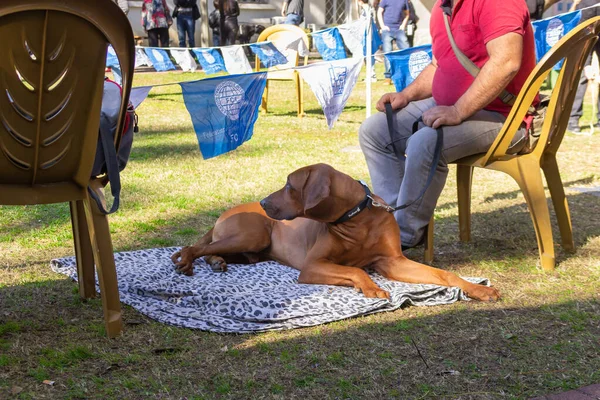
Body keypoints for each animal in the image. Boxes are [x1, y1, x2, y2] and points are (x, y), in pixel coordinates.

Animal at [172, 162, 502, 300]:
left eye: (290, 185)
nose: (264, 202)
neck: (357, 220)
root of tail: (223, 214)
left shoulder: (392, 262)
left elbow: (445, 275)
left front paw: (478, 289)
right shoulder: (312, 266)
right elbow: (355, 270)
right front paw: (370, 287)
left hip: (252, 249)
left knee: (211, 251)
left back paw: (216, 262)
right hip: (252, 234)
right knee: (194, 248)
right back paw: (188, 261)